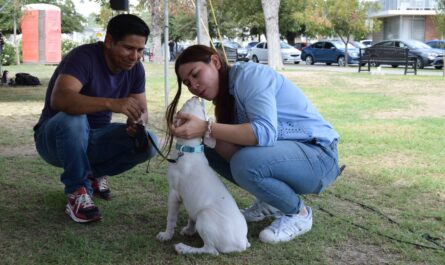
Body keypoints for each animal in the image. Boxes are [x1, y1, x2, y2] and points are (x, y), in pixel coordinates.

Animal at [155, 96, 250, 254]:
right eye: (203, 109)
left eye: (184, 105)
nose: (196, 97)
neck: (189, 149)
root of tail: (241, 243)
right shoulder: (191, 202)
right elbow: (190, 217)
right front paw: (189, 230)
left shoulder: (174, 193)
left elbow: (171, 218)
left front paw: (166, 235)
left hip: (204, 217)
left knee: (210, 250)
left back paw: (183, 248)